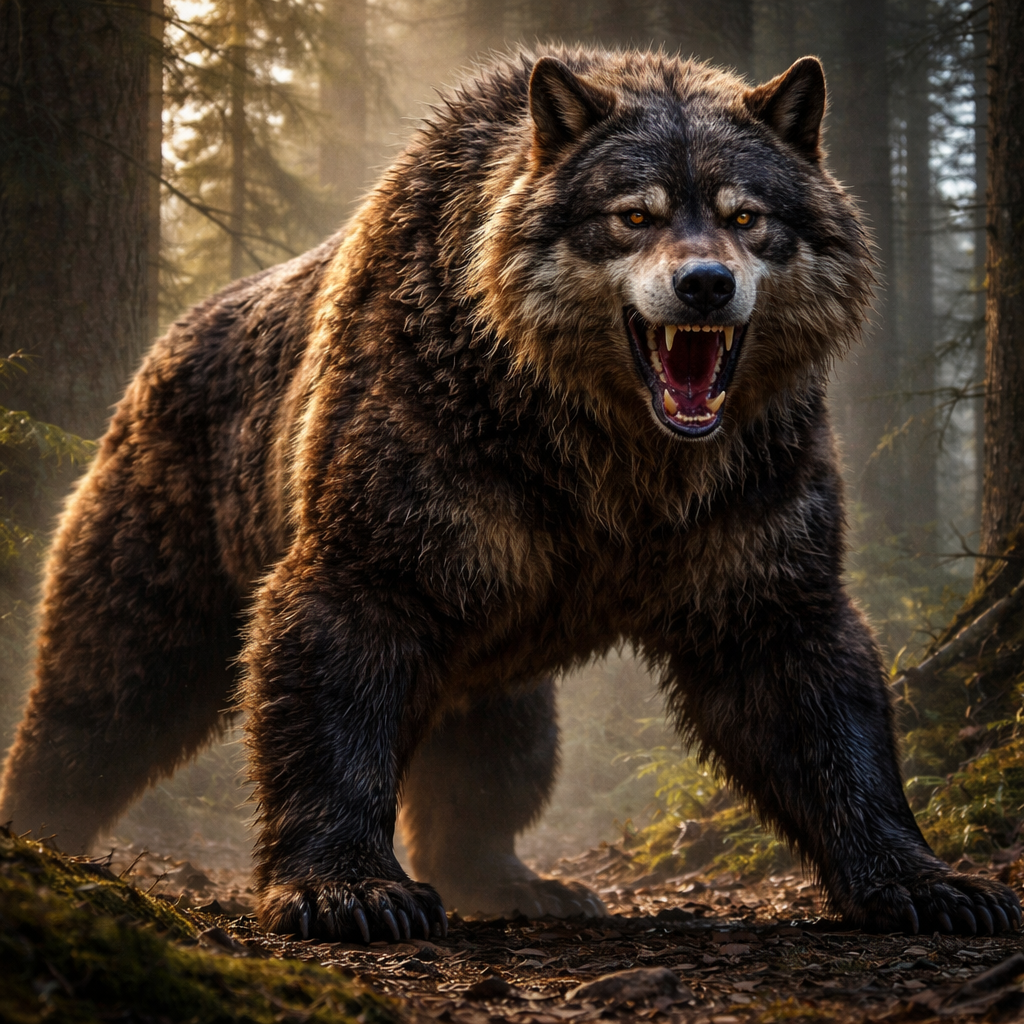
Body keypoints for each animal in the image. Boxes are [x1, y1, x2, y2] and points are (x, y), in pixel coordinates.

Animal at [1, 47, 1020, 942]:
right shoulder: (414, 476)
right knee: (103, 689)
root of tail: (164, 344)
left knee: (501, 761)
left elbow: (810, 686)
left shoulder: (747, 501)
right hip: (173, 524)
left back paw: (523, 881)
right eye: (634, 214)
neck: (603, 447)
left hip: (499, 650)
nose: (704, 284)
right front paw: (348, 891)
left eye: (747, 213)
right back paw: (38, 823)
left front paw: (931, 883)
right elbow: (334, 658)